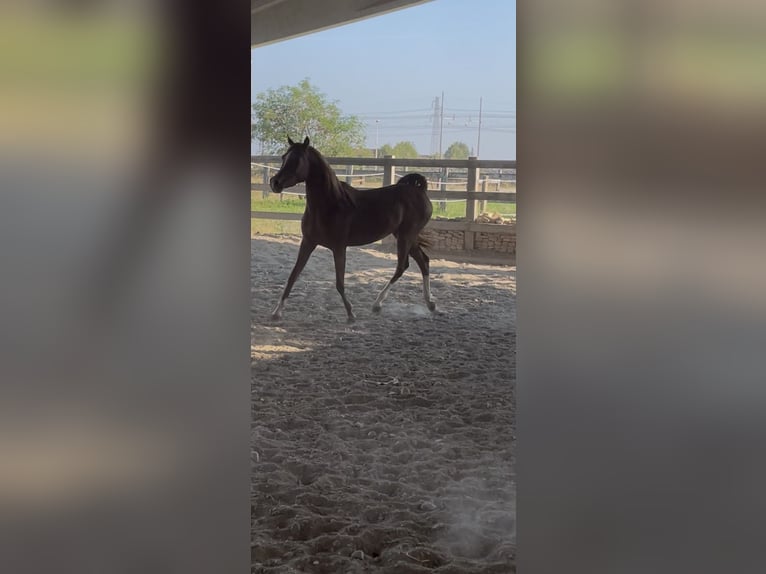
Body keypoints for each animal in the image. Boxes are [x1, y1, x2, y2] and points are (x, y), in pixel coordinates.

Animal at [268, 136, 436, 322]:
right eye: (284, 157)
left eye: (297, 160)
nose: (274, 183)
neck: (330, 204)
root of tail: (420, 190)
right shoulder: (308, 242)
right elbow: (293, 276)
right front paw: (277, 312)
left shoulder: (339, 247)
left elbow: (339, 283)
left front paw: (350, 314)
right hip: (404, 236)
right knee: (423, 261)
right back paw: (430, 304)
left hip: (406, 236)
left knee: (402, 266)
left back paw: (377, 304)